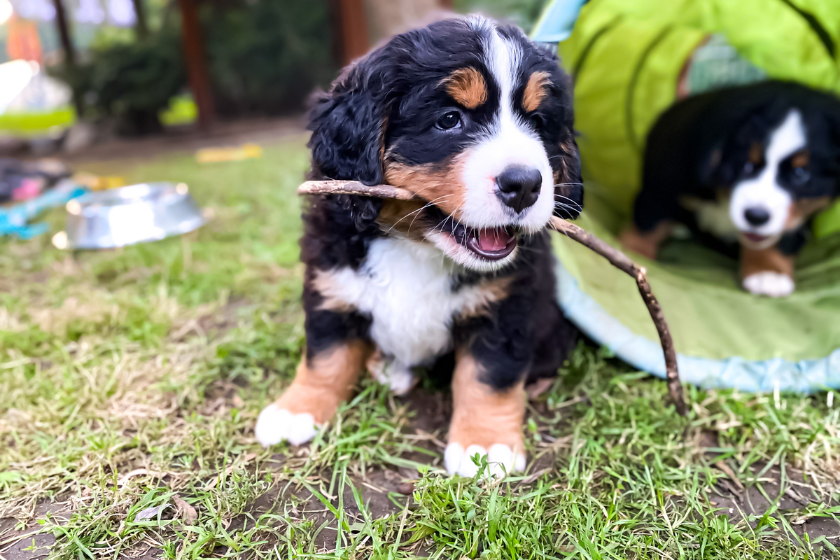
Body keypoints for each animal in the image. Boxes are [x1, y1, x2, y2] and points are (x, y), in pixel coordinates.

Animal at [258, 14, 584, 476]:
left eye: (538, 123)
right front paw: (297, 409)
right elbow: (325, 355)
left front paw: (485, 445)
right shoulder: (330, 281)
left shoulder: (508, 304)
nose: (524, 185)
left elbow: (489, 375)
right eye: (449, 119)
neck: (419, 246)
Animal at [620, 81, 840, 298]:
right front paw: (633, 254)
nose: (756, 216)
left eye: (800, 174)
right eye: (746, 165)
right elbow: (648, 223)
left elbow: (781, 237)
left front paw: (768, 273)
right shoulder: (667, 183)